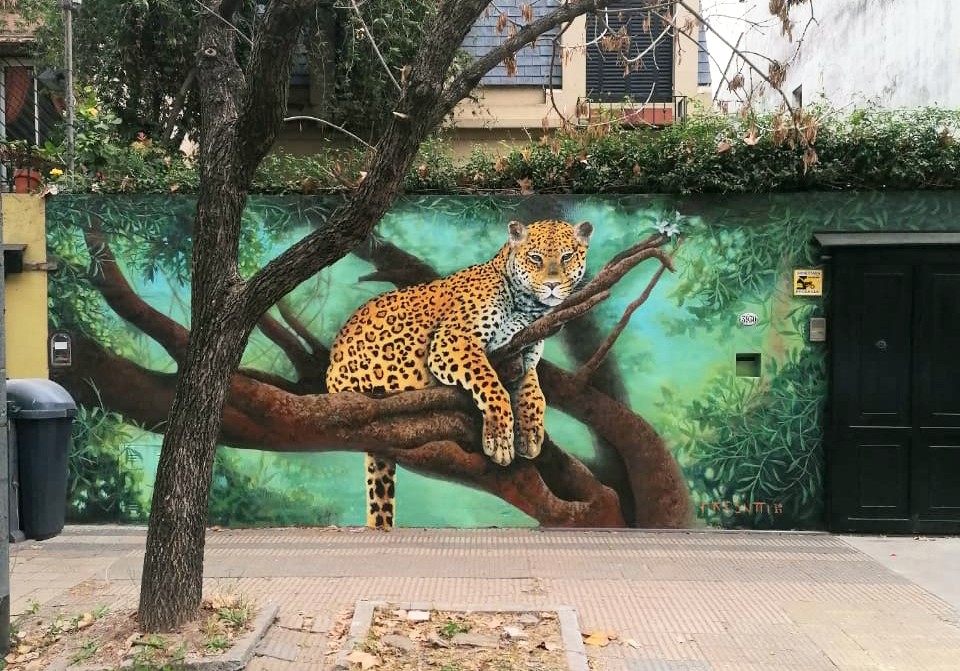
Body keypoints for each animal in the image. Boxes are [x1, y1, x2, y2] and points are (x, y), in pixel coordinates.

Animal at [325, 219, 594, 530]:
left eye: (566, 257)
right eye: (535, 258)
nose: (552, 285)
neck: (527, 309)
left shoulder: (521, 356)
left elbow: (533, 393)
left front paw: (529, 433)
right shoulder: (454, 340)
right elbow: (491, 384)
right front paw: (499, 439)